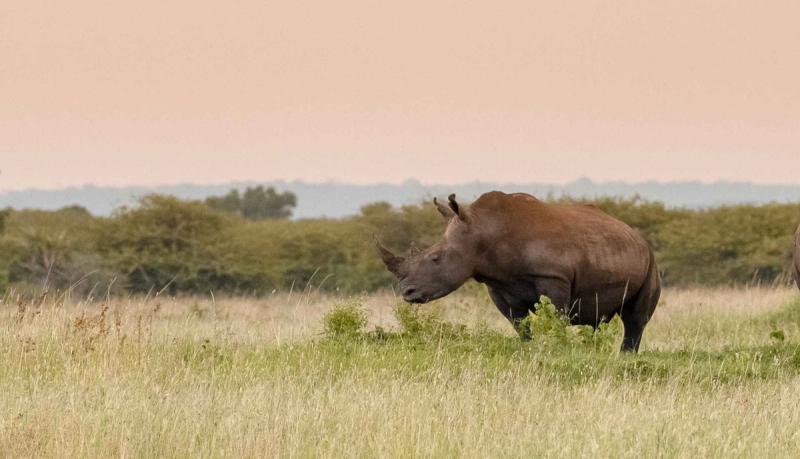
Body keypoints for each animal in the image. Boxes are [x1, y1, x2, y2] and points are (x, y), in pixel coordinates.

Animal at [377, 191, 661, 352]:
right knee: (598, 319)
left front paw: (556, 348)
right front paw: (529, 348)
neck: (484, 230)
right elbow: (519, 324)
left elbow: (554, 318)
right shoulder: (498, 285)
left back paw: (626, 356)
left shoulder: (553, 277)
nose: (407, 292)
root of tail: (636, 235)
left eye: (435, 259)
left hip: (651, 263)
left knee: (635, 319)